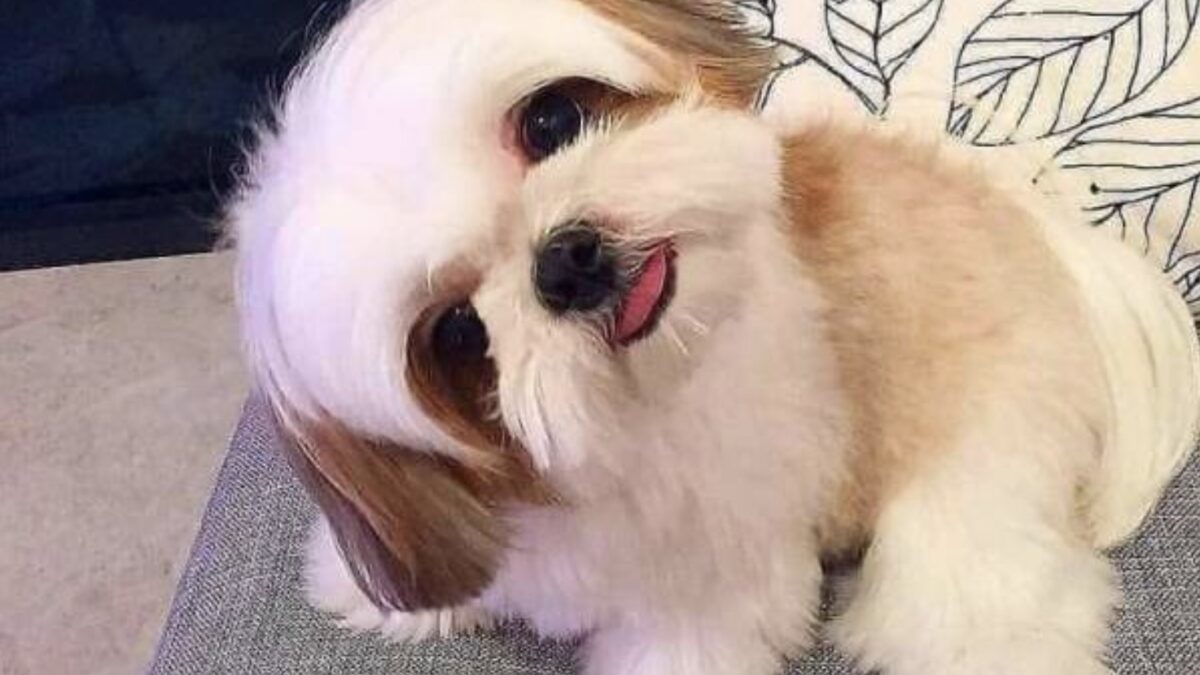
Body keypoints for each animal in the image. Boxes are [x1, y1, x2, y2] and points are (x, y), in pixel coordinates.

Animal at [226, 1, 1200, 672]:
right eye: (458, 332)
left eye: (551, 121)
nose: (565, 258)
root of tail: (1054, 244)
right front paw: (373, 594)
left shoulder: (709, 588)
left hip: (973, 474)